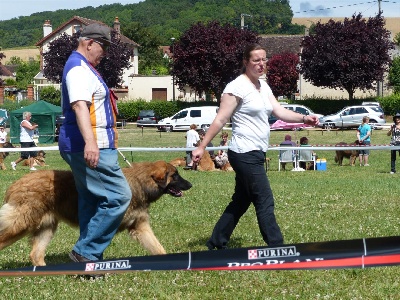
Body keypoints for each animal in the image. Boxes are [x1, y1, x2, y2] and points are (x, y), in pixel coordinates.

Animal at [0, 161, 192, 266]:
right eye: (175, 176)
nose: (190, 185)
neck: (140, 184)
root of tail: (16, 184)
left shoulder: (140, 226)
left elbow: (158, 247)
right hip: (22, 223)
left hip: (46, 228)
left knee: (36, 254)